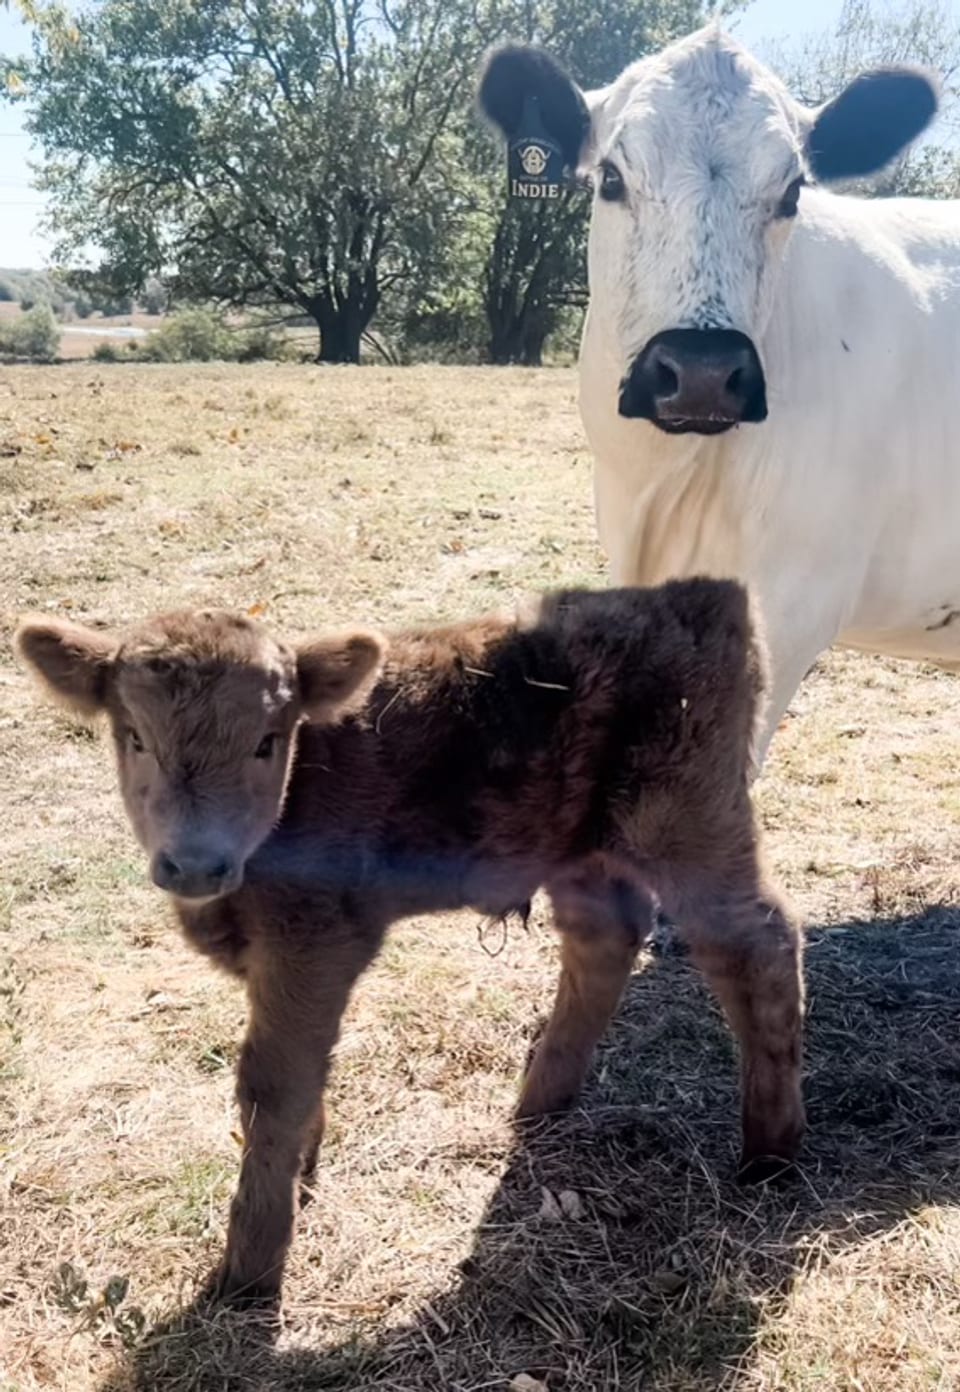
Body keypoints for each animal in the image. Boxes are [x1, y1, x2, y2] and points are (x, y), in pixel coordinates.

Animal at [16, 581, 802, 1305]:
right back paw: (539, 1105)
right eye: (135, 737)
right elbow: (305, 1077)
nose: (196, 862)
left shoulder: (315, 942)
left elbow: (273, 1085)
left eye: (266, 742)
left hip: (691, 819)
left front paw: (249, 1272)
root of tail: (696, 592)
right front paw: (303, 1172)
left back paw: (771, 1153)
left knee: (757, 944)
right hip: (581, 848)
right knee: (603, 941)